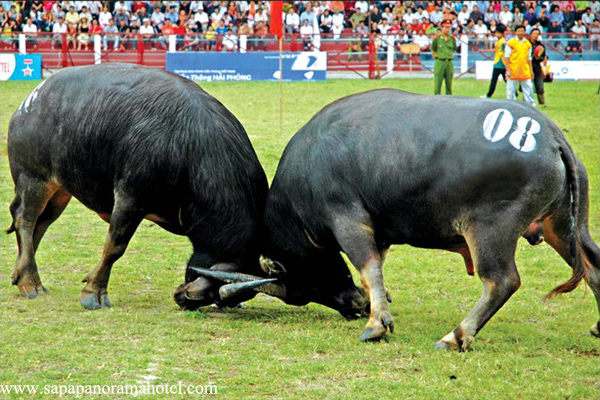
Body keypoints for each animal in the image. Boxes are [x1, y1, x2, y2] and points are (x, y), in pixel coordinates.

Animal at [6, 64, 270, 310]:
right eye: (211, 291)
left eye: (216, 296)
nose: (182, 299)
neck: (194, 150)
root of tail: (29, 104)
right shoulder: (130, 198)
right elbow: (115, 245)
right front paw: (94, 292)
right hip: (33, 178)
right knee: (25, 220)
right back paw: (30, 282)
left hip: (60, 190)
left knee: (41, 223)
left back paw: (21, 275)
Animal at [253, 90, 600, 350]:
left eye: (302, 290)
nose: (354, 306)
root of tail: (551, 137)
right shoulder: (380, 233)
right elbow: (377, 270)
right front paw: (380, 308)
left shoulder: (348, 219)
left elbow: (369, 270)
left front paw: (376, 324)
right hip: (563, 226)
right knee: (593, 269)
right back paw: (597, 326)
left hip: (490, 231)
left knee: (502, 281)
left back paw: (456, 336)